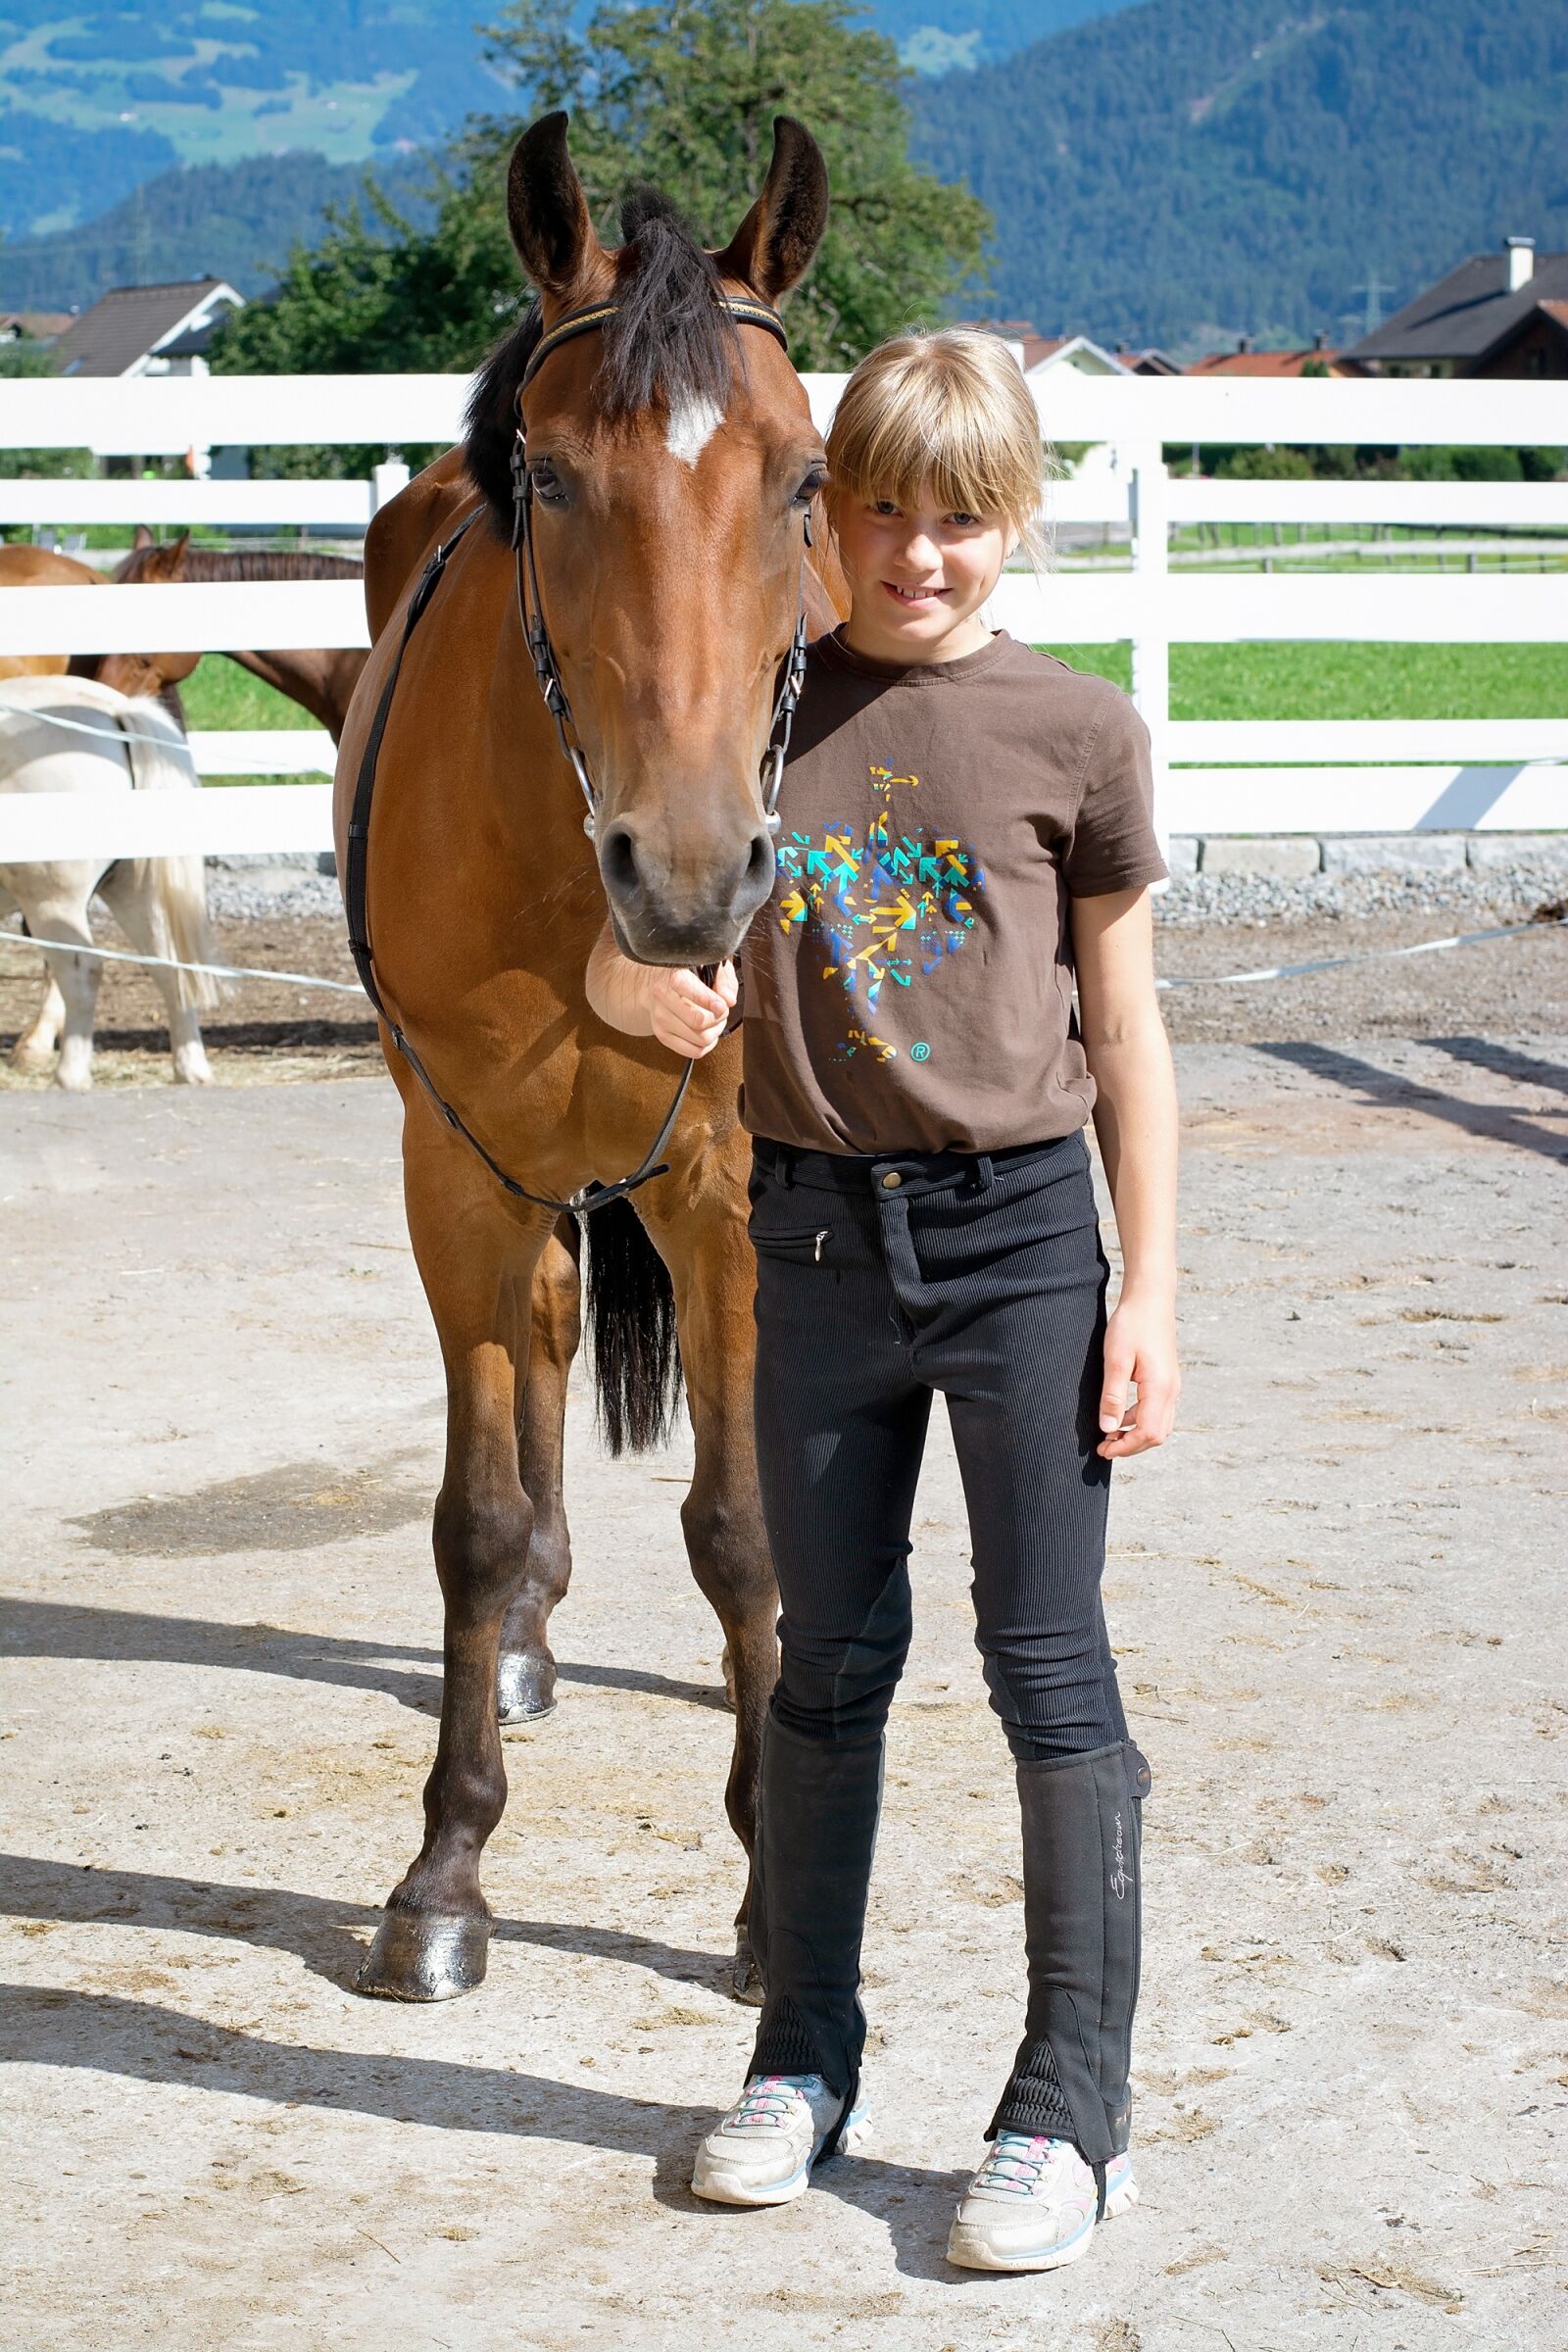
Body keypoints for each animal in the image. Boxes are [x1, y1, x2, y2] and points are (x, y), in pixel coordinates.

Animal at [0, 674, 225, 1088]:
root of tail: (116, 710)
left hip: (53, 902)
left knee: (82, 974)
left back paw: (69, 1076)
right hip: (134, 891)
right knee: (169, 967)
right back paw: (190, 1069)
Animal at [332, 108, 841, 2005]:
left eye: (801, 481)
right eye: (546, 479)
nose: (691, 877)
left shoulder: (730, 1194)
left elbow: (748, 1529)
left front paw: (775, 1886)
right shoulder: (456, 1175)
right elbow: (474, 1524)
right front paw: (446, 1876)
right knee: (547, 1344)